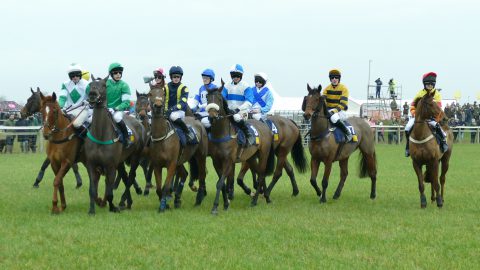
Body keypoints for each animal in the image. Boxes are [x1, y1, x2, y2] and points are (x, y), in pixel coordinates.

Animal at [84, 76, 146, 215]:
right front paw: (92, 210)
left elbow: (109, 191)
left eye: (103, 85)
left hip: (135, 157)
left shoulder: (110, 165)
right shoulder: (91, 165)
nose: (92, 94)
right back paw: (127, 202)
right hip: (121, 161)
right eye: (91, 84)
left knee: (130, 177)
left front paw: (112, 207)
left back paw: (124, 201)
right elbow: (92, 190)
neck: (100, 135)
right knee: (125, 176)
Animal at [148, 81, 208, 211]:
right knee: (184, 174)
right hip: (180, 160)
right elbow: (159, 189)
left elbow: (166, 186)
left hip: (200, 156)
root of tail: (198, 121)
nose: (158, 106)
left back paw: (198, 200)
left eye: (163, 94)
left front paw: (162, 206)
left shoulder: (171, 164)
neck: (162, 137)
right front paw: (166, 204)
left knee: (202, 175)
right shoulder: (157, 165)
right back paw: (177, 200)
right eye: (150, 94)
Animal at [205, 79, 276, 214]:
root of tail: (265, 126)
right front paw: (225, 204)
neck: (221, 134)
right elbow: (222, 183)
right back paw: (267, 197)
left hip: (263, 154)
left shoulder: (228, 161)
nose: (212, 116)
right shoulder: (216, 161)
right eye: (207, 98)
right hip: (251, 157)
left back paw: (254, 201)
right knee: (259, 173)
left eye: (219, 99)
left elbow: (220, 183)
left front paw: (215, 207)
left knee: (261, 174)